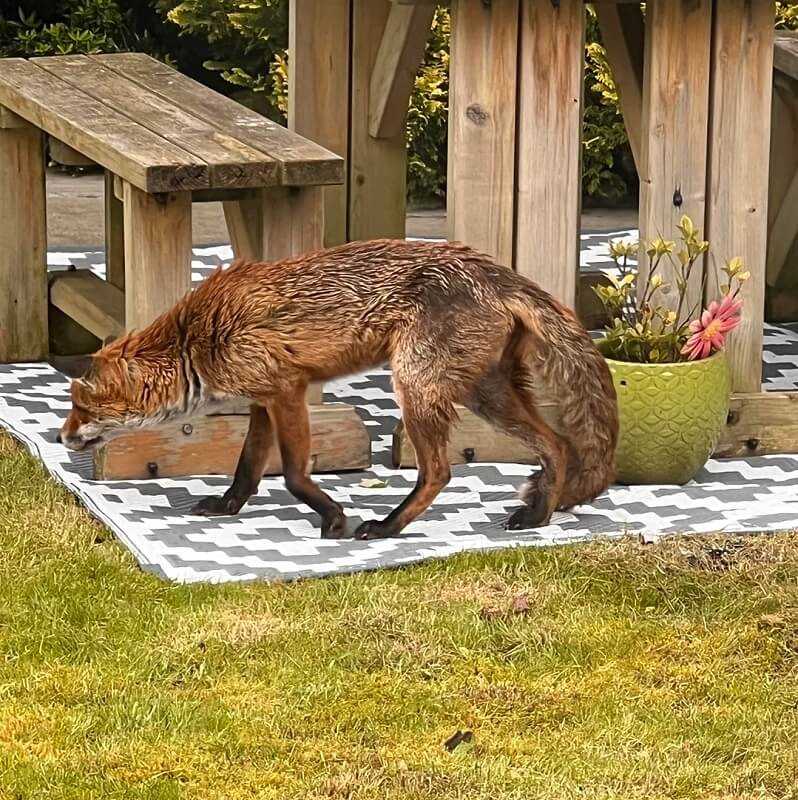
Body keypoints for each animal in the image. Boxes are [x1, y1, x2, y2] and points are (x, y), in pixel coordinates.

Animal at [57, 239, 618, 540]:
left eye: (80, 406)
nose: (62, 438)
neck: (194, 340)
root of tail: (496, 270)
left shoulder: (287, 391)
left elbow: (292, 476)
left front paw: (333, 517)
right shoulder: (263, 401)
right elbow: (247, 467)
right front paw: (227, 506)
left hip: (415, 386)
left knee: (439, 471)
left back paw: (388, 526)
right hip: (485, 393)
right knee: (557, 445)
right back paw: (538, 516)